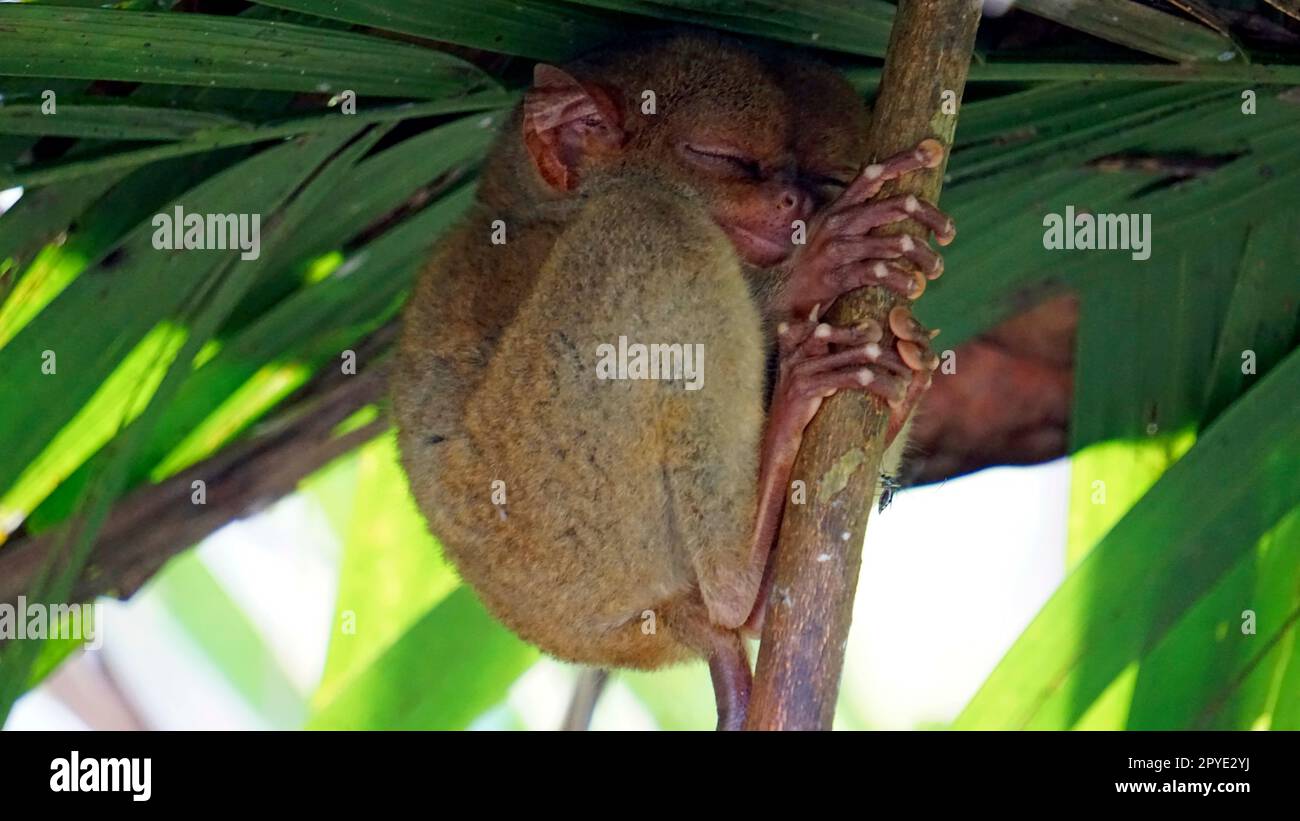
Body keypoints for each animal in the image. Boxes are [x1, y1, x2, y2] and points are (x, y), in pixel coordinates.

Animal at [392, 31, 954, 730]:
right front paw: (815, 264)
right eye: (724, 158)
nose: (799, 205)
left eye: (826, 179)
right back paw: (749, 563)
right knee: (654, 224)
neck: (537, 212)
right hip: (560, 513)